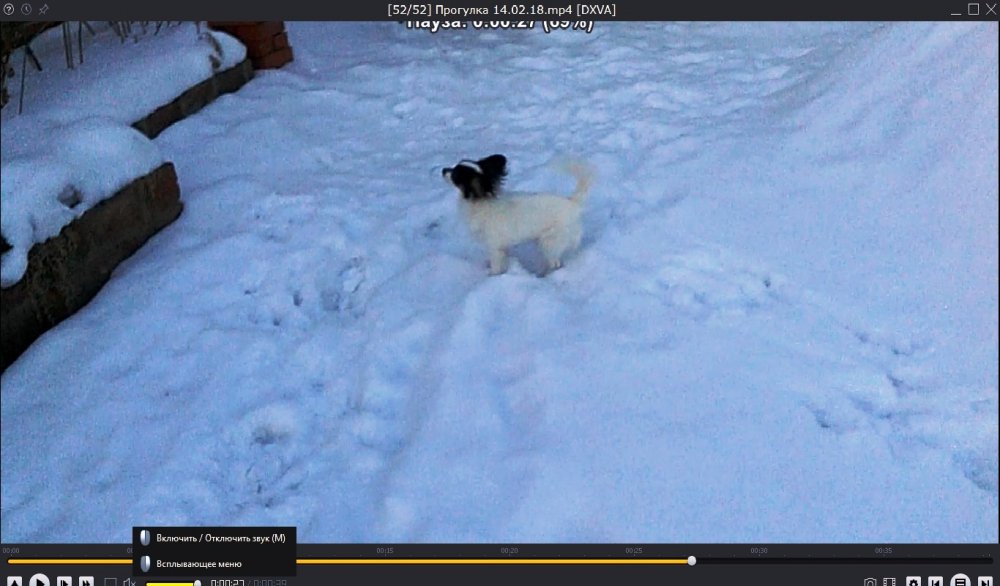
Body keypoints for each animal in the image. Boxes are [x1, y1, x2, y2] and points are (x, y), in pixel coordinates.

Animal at [442, 154, 588, 274]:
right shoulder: (501, 248)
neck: (481, 202)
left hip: (549, 241)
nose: (443, 170)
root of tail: (572, 202)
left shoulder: (494, 247)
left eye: (455, 175)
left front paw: (493, 276)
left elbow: (496, 266)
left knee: (555, 262)